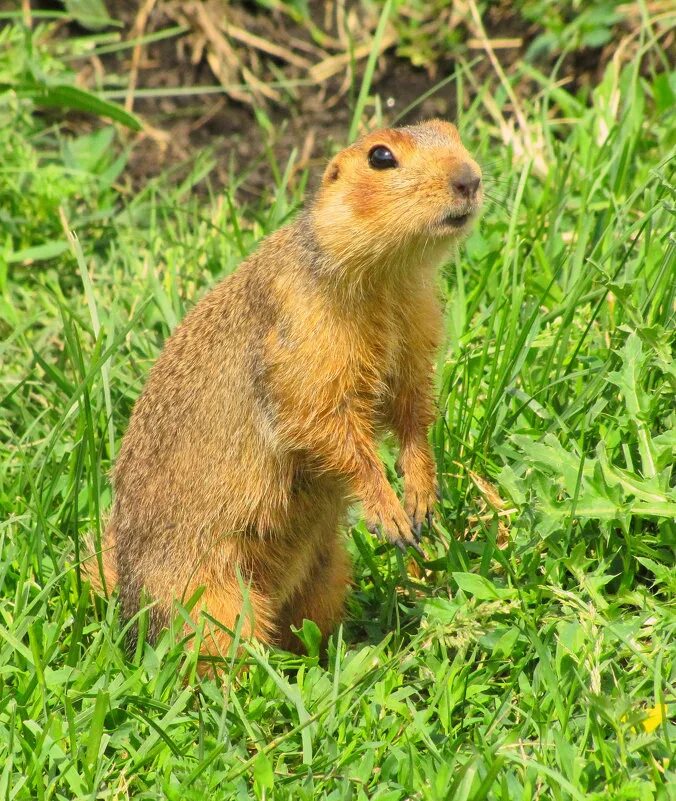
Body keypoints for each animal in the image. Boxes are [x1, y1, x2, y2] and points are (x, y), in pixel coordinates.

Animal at [88, 117, 480, 656]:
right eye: (381, 156)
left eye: (452, 130)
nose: (470, 179)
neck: (390, 281)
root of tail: (125, 600)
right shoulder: (305, 341)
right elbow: (324, 423)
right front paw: (390, 513)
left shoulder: (416, 336)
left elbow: (412, 409)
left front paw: (421, 495)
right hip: (208, 598)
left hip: (329, 570)